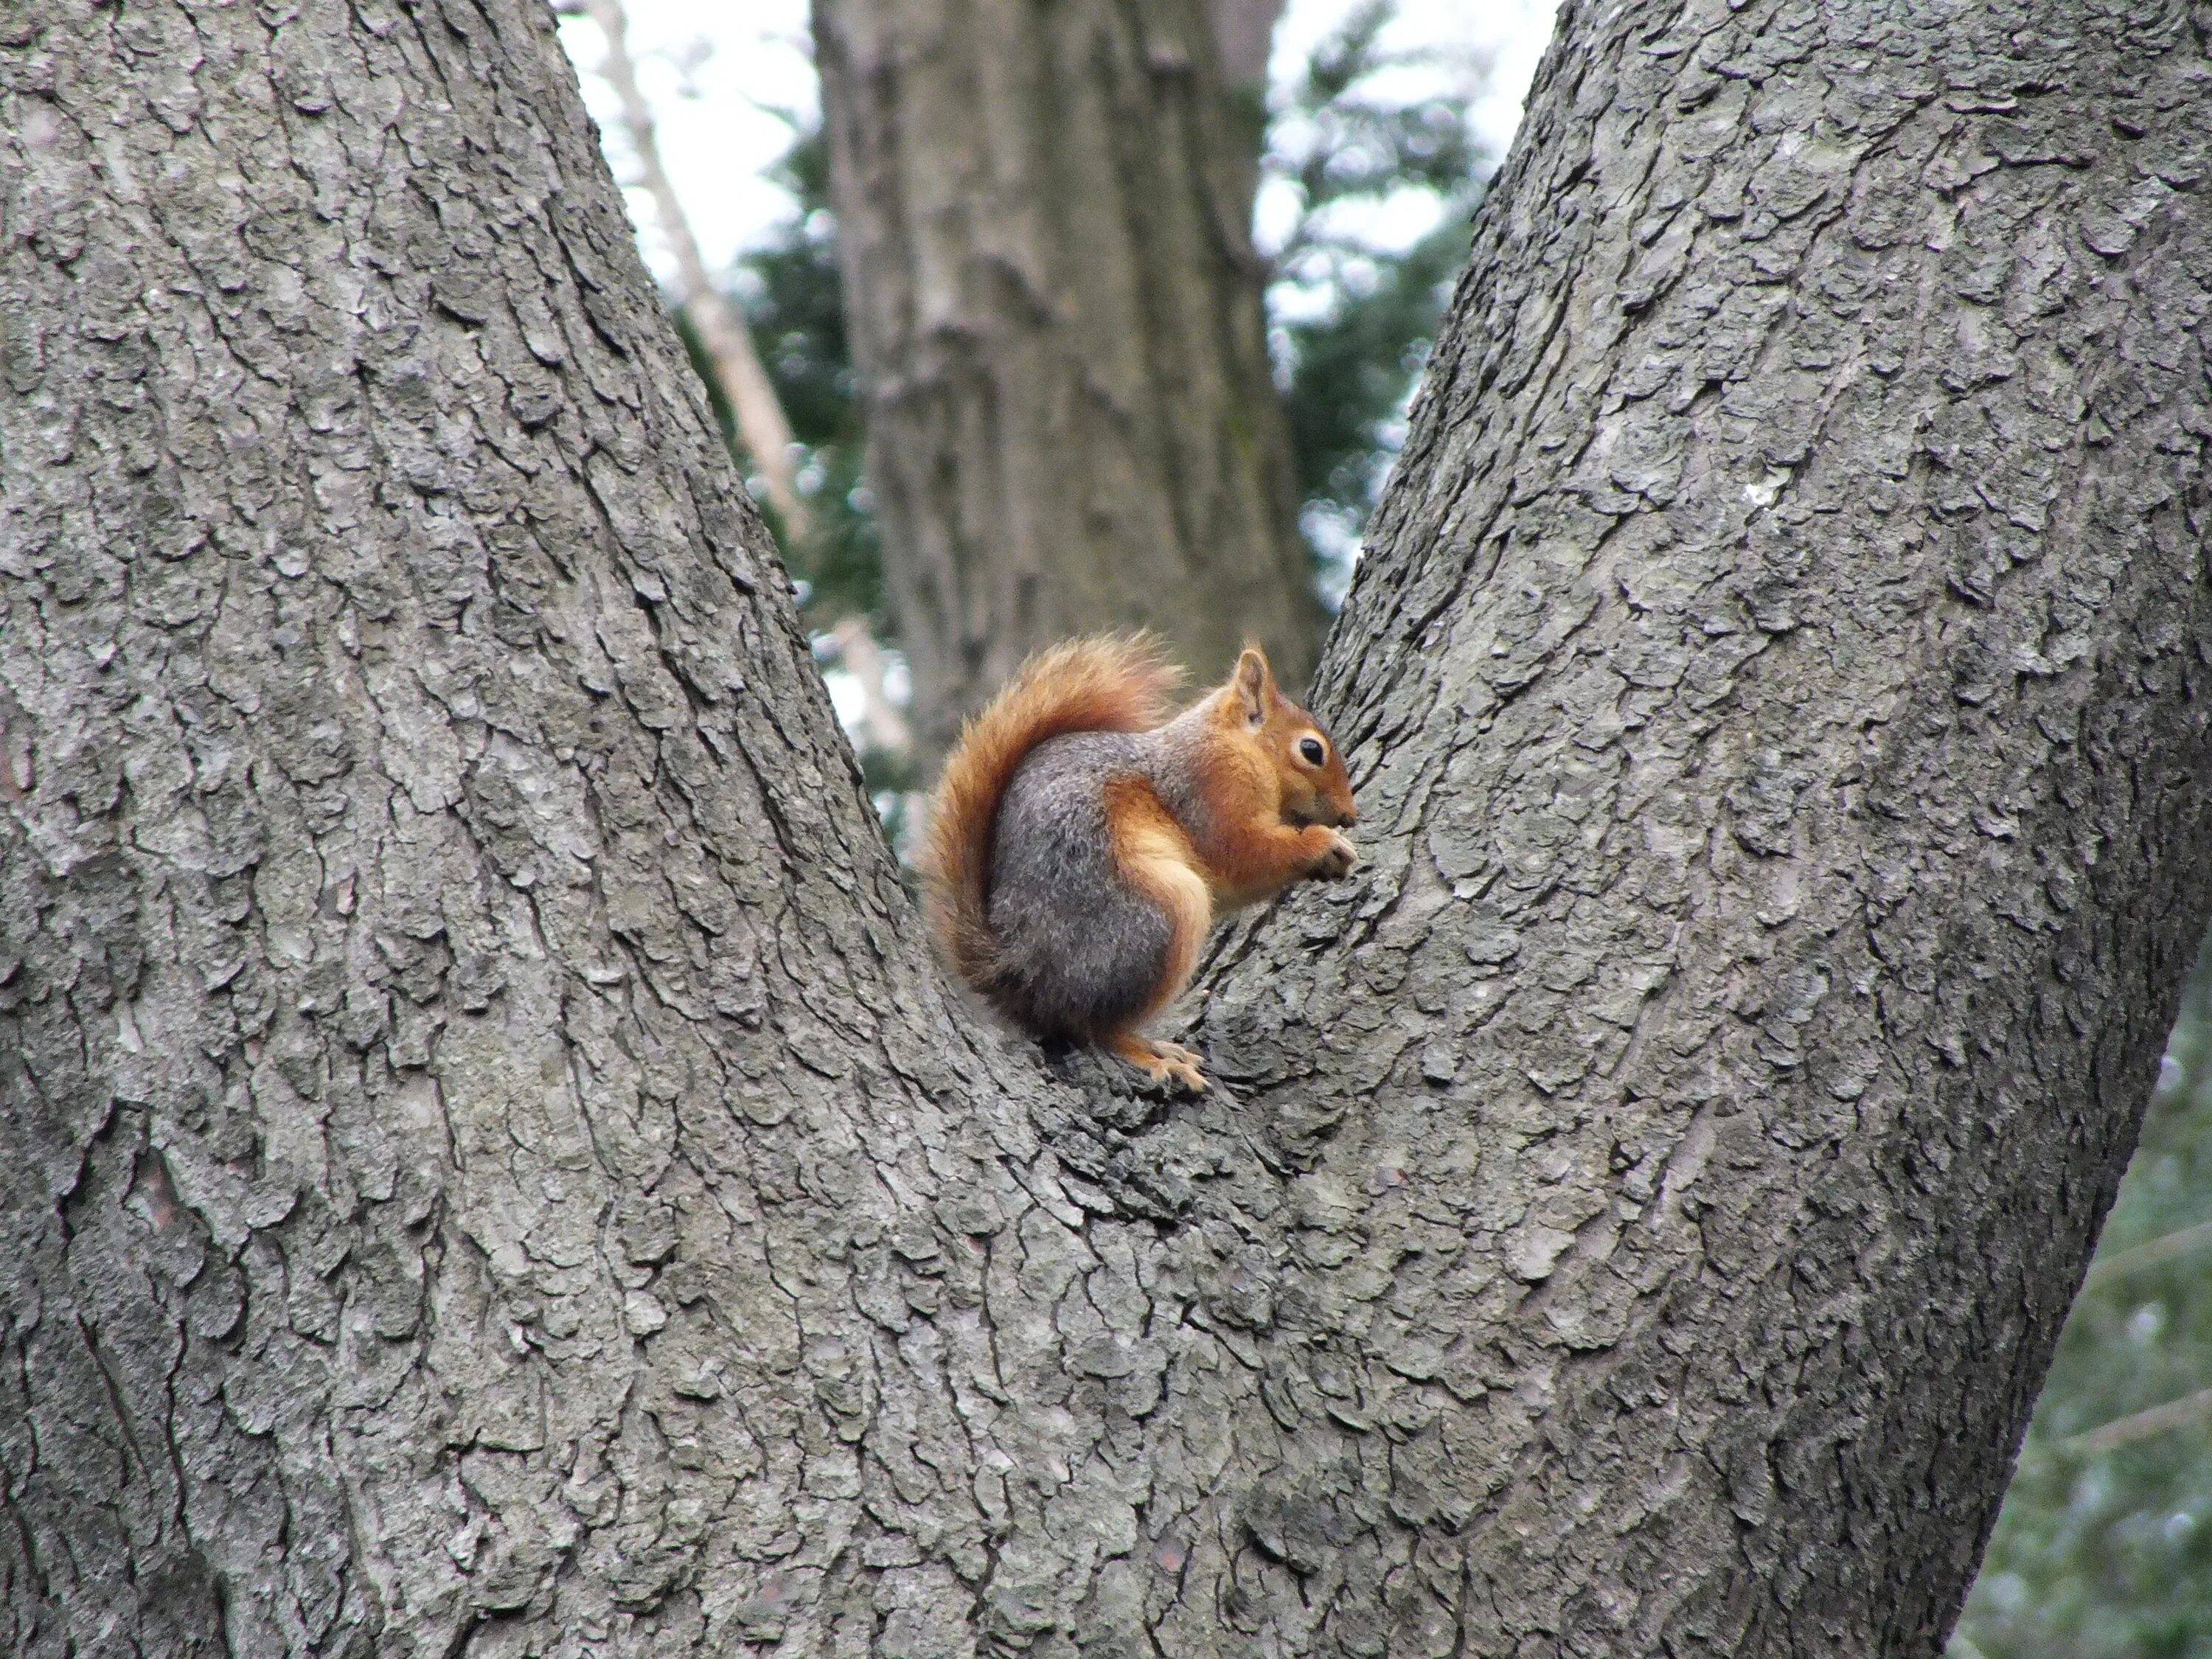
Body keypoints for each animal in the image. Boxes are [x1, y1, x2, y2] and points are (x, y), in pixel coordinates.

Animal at [920, 633, 1363, 1093]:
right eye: (1311, 750)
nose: (1350, 816)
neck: (1237, 745)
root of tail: (1023, 972)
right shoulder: (1211, 789)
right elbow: (1240, 854)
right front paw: (1323, 845)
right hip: (1158, 913)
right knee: (1094, 1027)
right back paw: (1152, 1058)